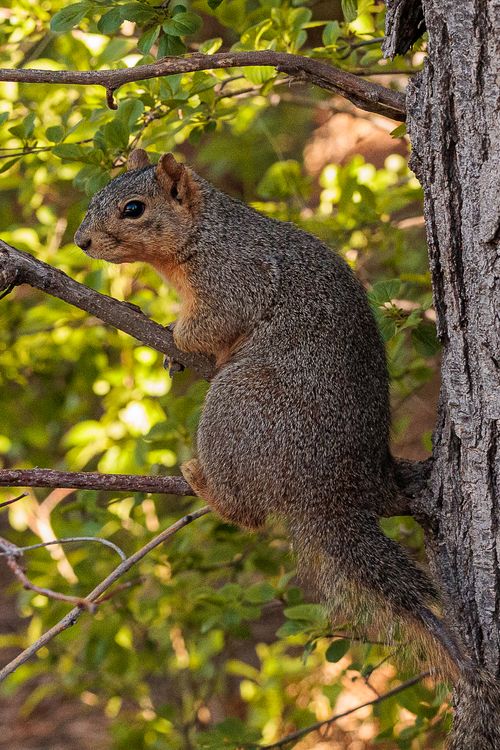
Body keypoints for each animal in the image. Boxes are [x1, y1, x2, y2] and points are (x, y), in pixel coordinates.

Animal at [75, 149, 472, 684]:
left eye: (133, 209)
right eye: (97, 196)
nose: (82, 241)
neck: (205, 233)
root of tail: (330, 492)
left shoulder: (237, 278)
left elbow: (211, 324)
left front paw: (177, 338)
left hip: (237, 405)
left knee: (251, 514)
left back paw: (207, 485)